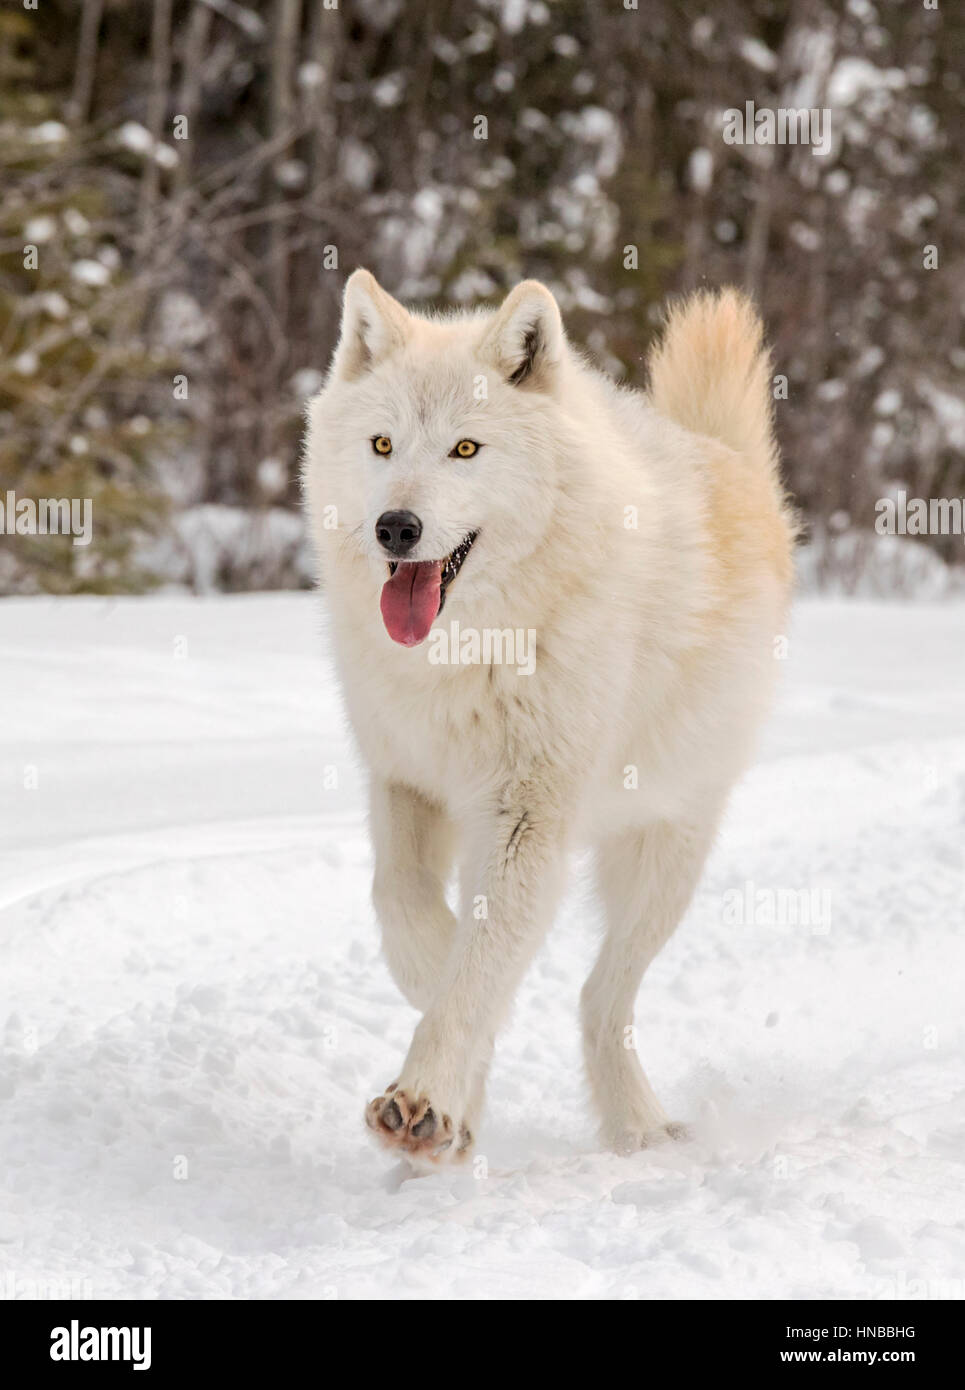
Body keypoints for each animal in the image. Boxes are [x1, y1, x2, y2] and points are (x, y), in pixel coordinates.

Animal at [303, 270, 794, 1165]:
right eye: (382, 445)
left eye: (465, 450)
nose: (397, 527)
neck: (468, 652)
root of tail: (725, 456)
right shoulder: (404, 778)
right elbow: (403, 905)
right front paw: (448, 1044)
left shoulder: (526, 817)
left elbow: (481, 966)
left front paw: (424, 1098)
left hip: (665, 859)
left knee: (603, 999)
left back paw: (637, 1128)